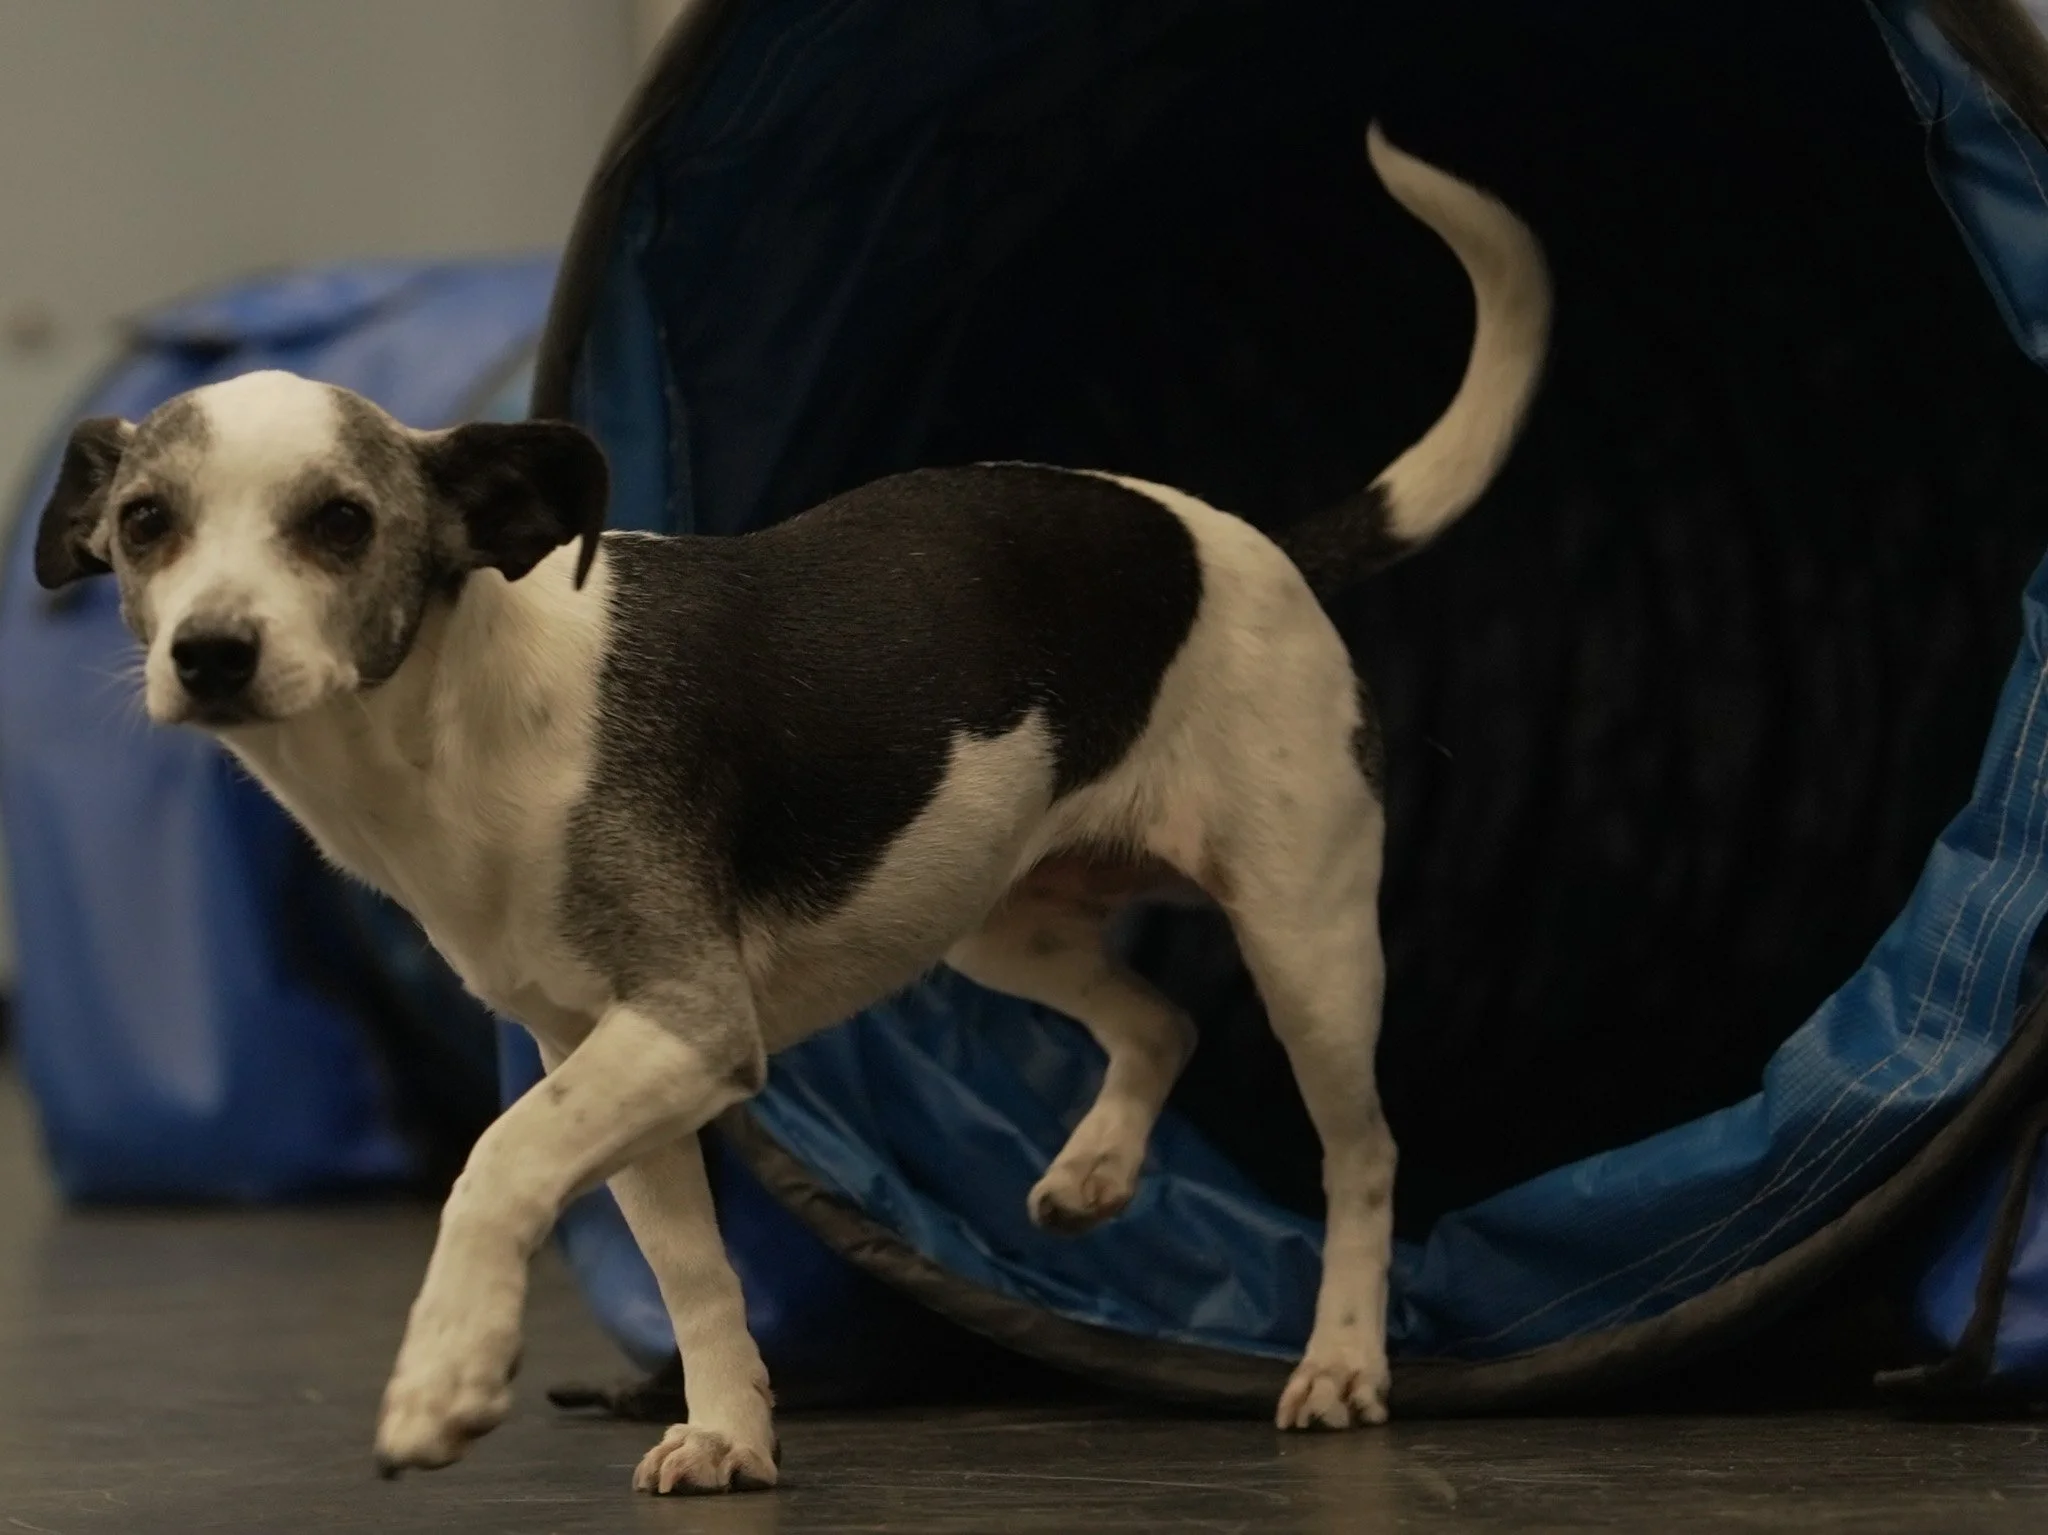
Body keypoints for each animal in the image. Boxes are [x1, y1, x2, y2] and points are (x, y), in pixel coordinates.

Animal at [32, 125, 1547, 1494]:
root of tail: (1252, 542)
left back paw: (1342, 1359)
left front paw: (446, 1372)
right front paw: (729, 1432)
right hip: (995, 917)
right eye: (149, 522)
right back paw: (1093, 1170)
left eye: (341, 522)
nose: (210, 653)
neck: (453, 724)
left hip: (1306, 942)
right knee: (1159, 1016)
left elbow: (497, 1159)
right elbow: (690, 1267)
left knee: (1362, 1154)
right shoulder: (609, 1044)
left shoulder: (690, 1021)